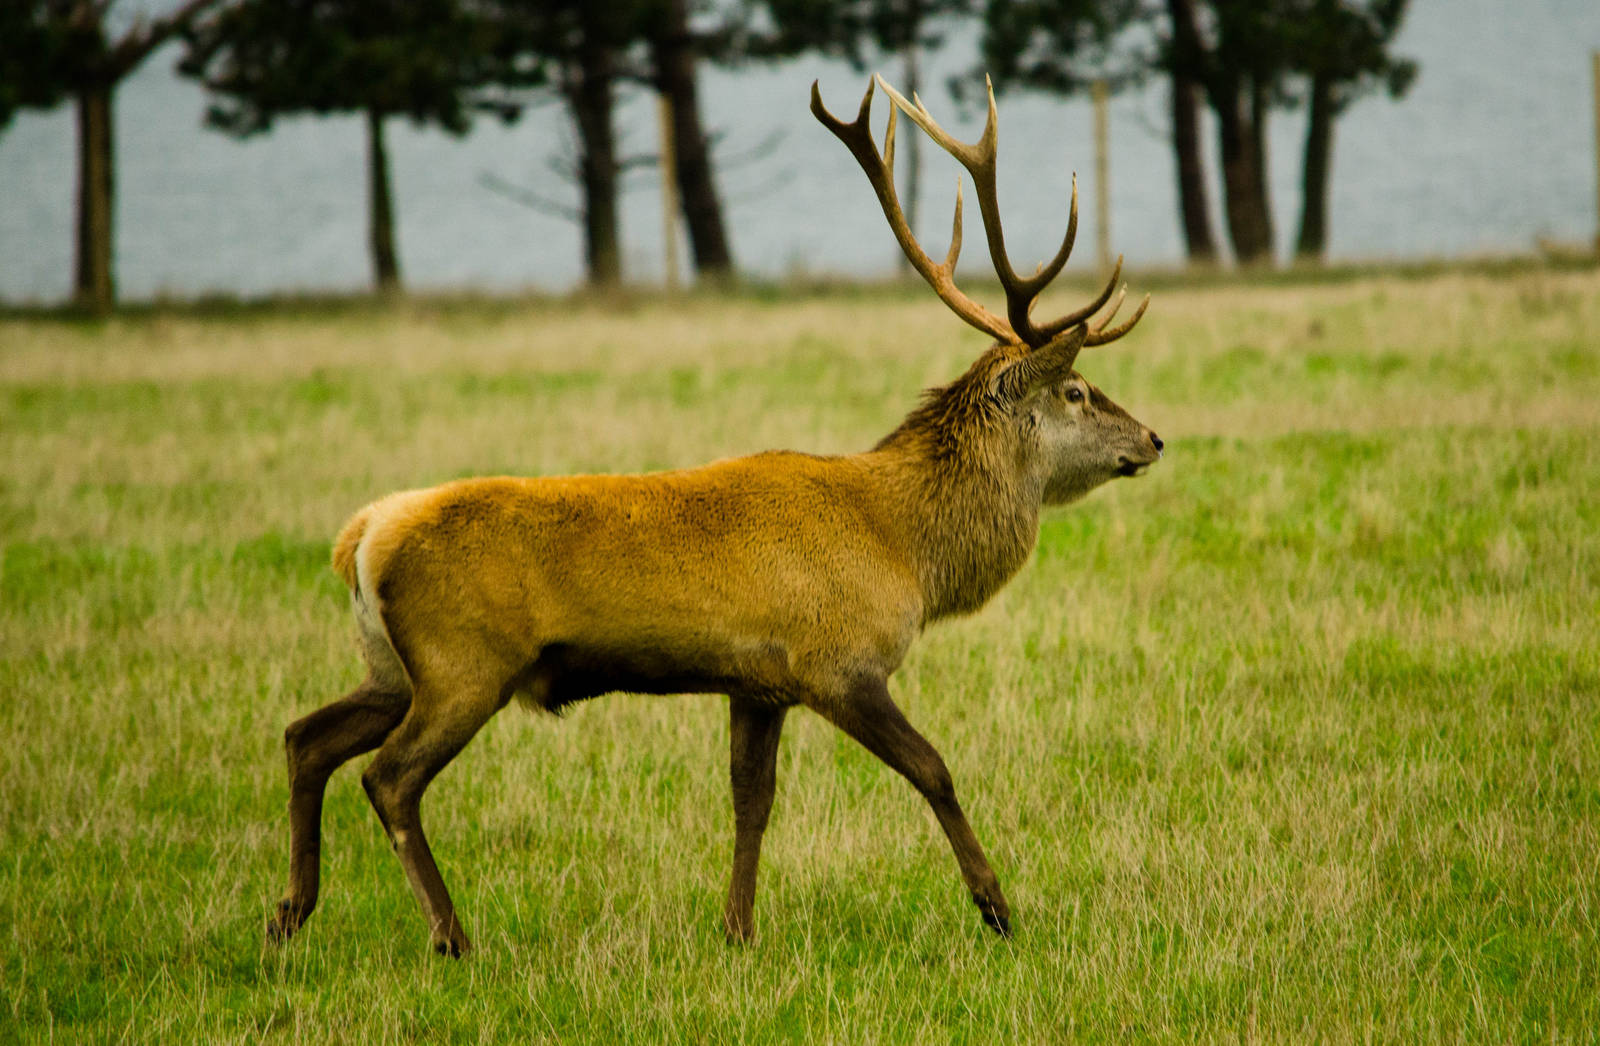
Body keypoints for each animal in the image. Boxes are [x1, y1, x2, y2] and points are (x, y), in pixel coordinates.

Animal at [265, 75, 1163, 957]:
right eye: (1077, 392)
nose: (1154, 438)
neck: (905, 547)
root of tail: (363, 538)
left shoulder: (759, 683)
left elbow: (750, 801)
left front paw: (737, 929)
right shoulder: (839, 661)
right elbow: (933, 768)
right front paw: (997, 908)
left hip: (395, 666)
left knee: (307, 736)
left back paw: (289, 913)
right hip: (465, 662)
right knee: (389, 777)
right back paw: (449, 934)